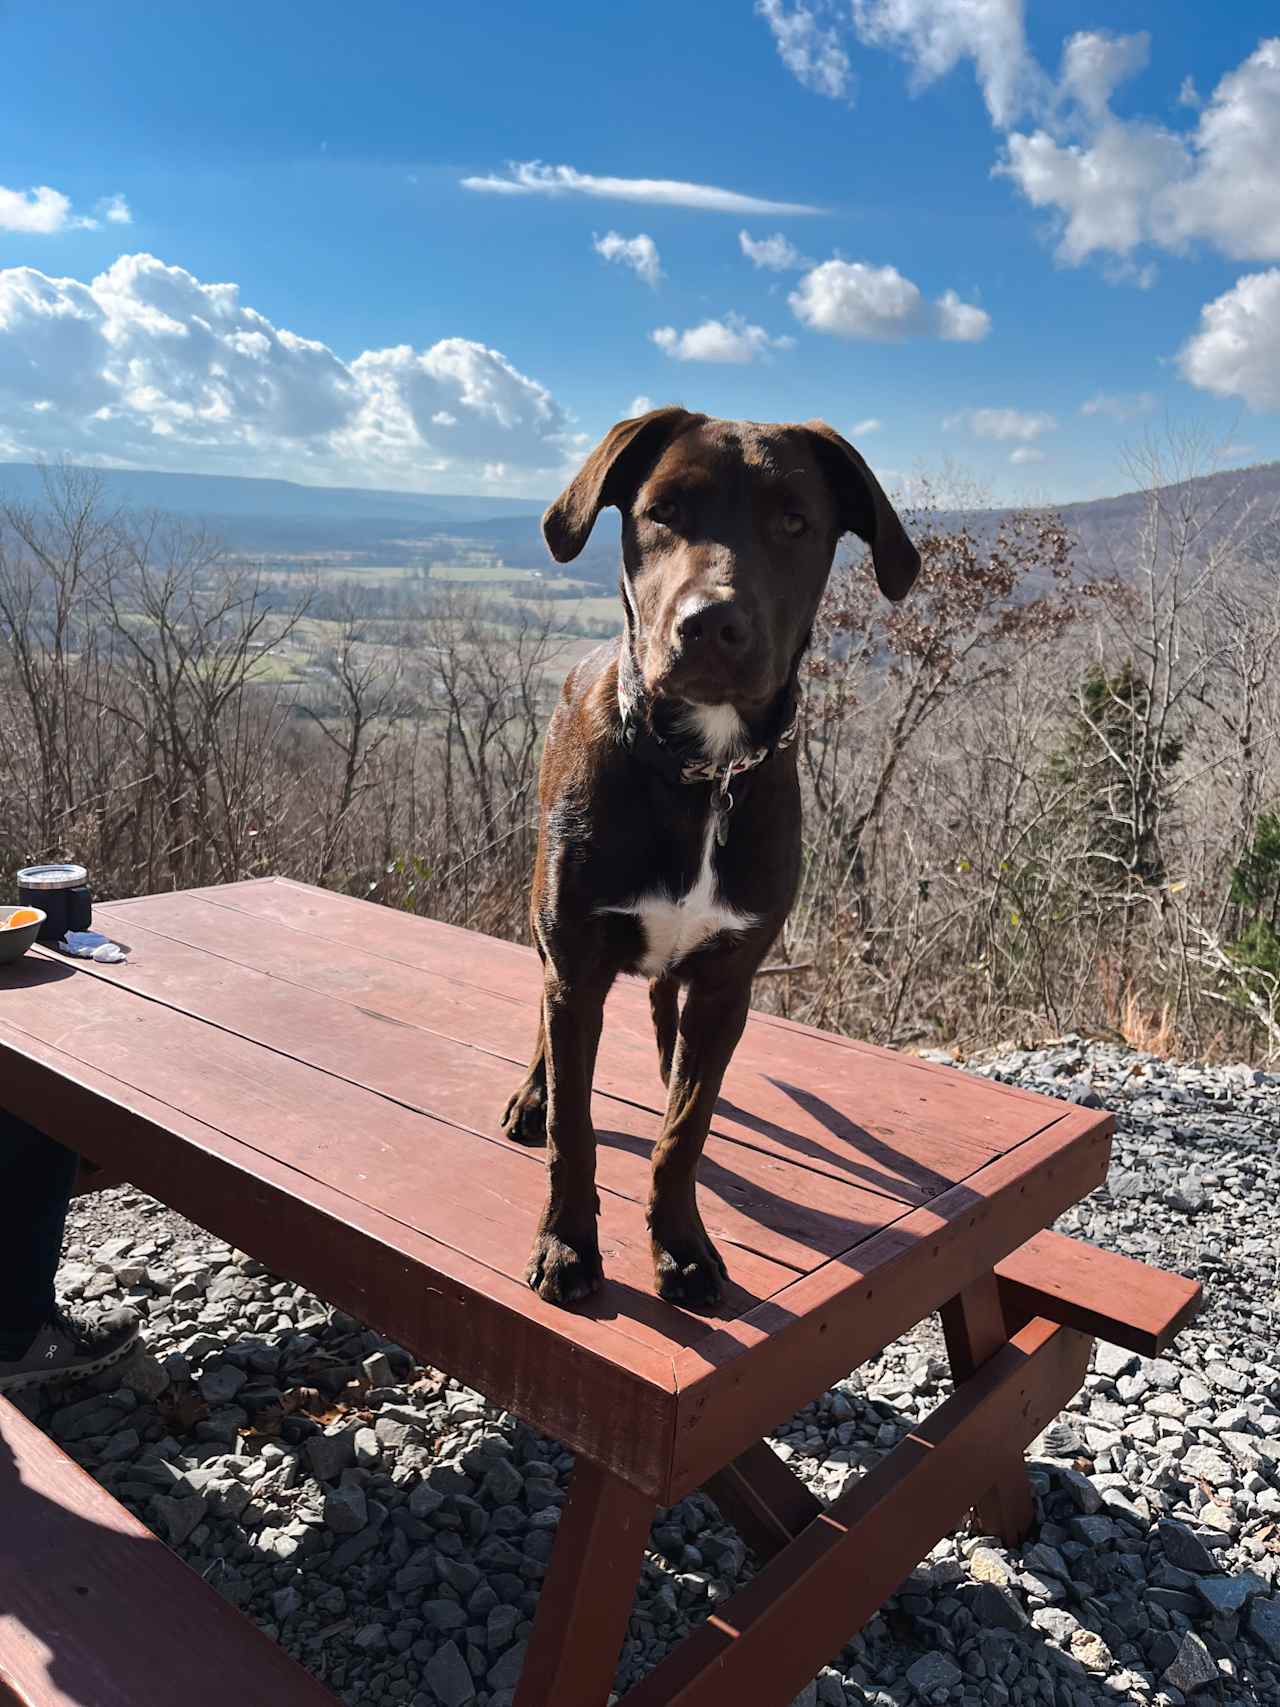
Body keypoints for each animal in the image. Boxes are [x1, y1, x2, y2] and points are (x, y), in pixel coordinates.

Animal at [505, 402, 921, 1304]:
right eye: (663, 510)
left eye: (794, 522)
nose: (709, 626)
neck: (701, 770)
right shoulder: (578, 962)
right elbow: (577, 1126)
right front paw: (566, 1243)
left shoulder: (730, 979)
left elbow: (683, 1132)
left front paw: (681, 1242)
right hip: (546, 928)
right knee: (546, 1016)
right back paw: (531, 1093)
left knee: (672, 1028)